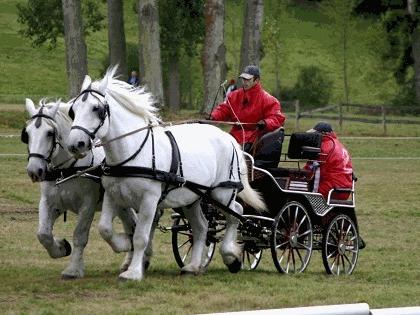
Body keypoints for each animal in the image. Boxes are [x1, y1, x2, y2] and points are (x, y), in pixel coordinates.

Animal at [22, 99, 135, 278]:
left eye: (49, 133)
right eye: (27, 133)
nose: (34, 170)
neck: (67, 168)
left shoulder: (88, 204)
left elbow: (79, 235)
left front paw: (73, 270)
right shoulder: (50, 202)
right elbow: (43, 234)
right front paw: (61, 247)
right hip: (122, 204)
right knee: (132, 225)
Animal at [65, 68, 264, 282]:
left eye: (96, 109)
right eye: (73, 110)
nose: (75, 144)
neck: (132, 152)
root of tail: (227, 137)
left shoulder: (149, 200)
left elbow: (141, 236)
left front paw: (133, 272)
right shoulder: (113, 195)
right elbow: (104, 229)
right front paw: (125, 244)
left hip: (222, 193)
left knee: (236, 214)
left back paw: (230, 256)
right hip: (191, 198)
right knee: (201, 227)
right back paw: (193, 266)